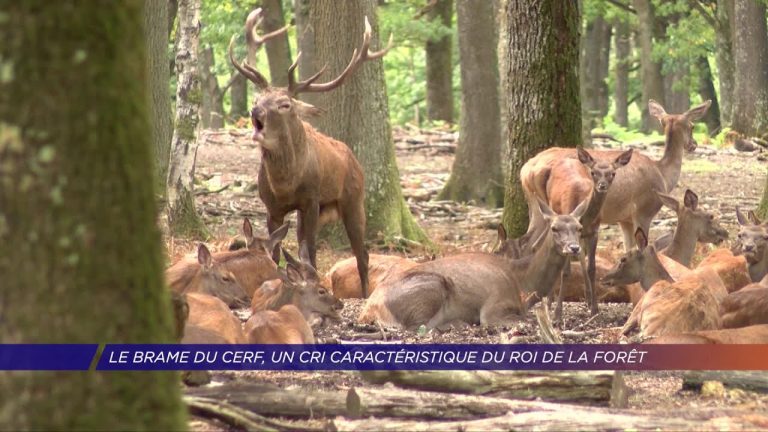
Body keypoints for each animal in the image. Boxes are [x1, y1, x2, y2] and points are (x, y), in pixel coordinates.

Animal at [229, 9, 393, 299]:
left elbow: (312, 249)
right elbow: (275, 250)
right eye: (256, 99)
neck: (285, 185)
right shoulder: (271, 206)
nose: (255, 111)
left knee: (362, 253)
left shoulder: (312, 200)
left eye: (285, 104)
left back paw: (364, 293)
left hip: (354, 199)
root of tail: (353, 158)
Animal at [358, 199, 588, 329]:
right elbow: (521, 320)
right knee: (417, 327)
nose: (574, 248)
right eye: (554, 228)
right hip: (432, 286)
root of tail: (369, 309)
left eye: (579, 227)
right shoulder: (494, 306)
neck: (522, 281)